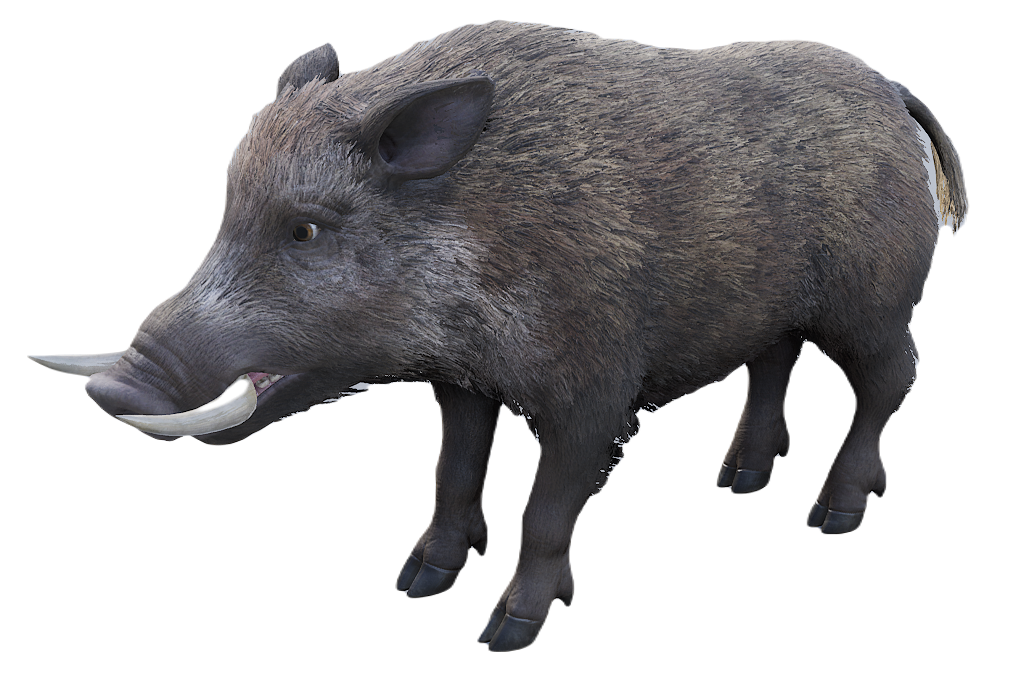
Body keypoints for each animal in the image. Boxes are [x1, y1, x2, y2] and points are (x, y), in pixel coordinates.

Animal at [27, 21, 967, 650]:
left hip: (879, 301)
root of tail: (892, 91)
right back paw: (736, 483)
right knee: (774, 361)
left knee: (893, 380)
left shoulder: (596, 396)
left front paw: (508, 631)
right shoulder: (465, 380)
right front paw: (418, 584)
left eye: (306, 229)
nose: (116, 385)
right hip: (772, 306)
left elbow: (546, 511)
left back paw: (835, 514)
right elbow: (452, 475)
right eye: (228, 211)